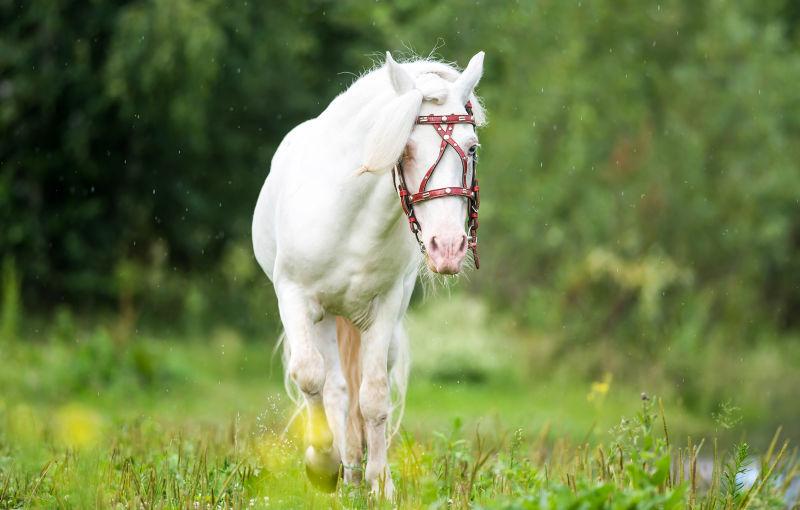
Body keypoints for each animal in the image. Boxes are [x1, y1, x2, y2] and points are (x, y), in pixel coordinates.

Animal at [253, 49, 484, 496]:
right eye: (405, 149)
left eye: (472, 147)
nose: (448, 248)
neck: (351, 216)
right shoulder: (295, 298)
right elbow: (311, 377)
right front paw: (321, 468)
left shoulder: (385, 309)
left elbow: (374, 397)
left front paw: (380, 484)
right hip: (326, 317)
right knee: (334, 388)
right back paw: (341, 468)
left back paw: (356, 472)